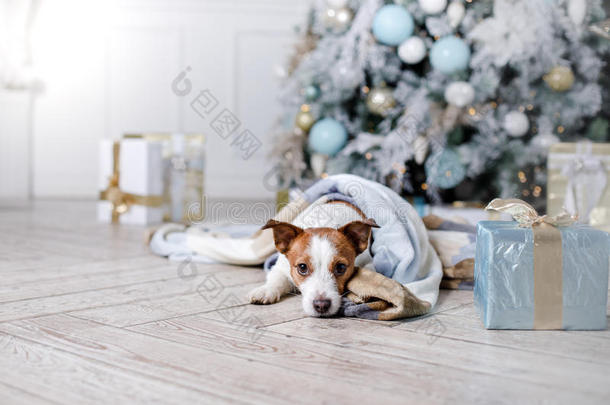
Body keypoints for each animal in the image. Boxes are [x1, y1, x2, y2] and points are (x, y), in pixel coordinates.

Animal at [246, 200, 376, 318]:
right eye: (302, 267)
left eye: (341, 267)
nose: (321, 305)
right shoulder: (281, 267)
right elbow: (277, 279)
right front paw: (266, 290)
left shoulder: (368, 263)